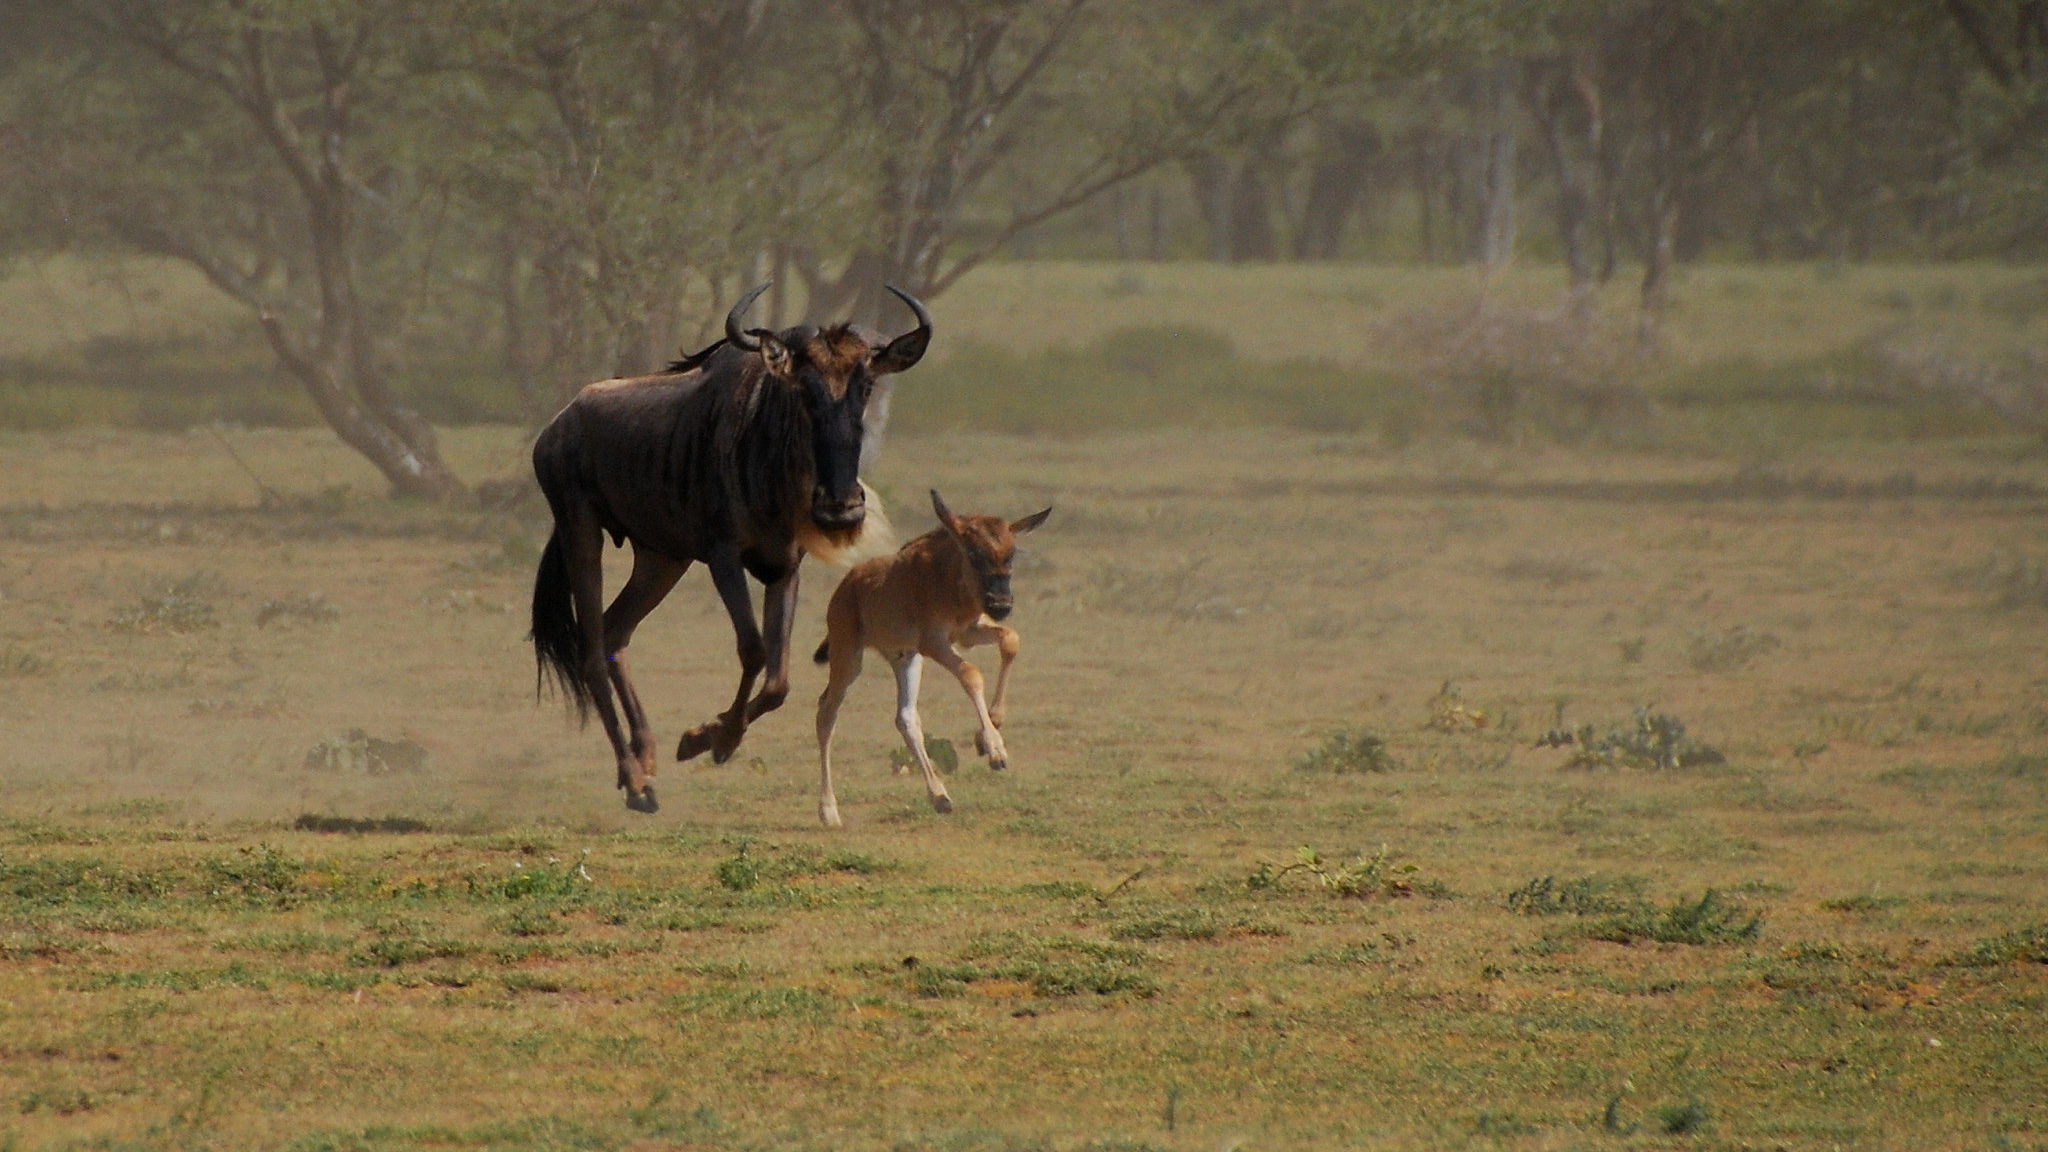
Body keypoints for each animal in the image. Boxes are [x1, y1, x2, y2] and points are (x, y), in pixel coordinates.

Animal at [811, 490, 1051, 828]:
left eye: (1012, 553)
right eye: (973, 552)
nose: (1002, 604)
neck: (946, 578)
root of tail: (846, 586)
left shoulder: (967, 632)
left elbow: (1010, 640)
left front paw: (990, 726)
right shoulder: (934, 642)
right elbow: (971, 674)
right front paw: (994, 750)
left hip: (905, 658)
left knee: (906, 717)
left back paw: (939, 796)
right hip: (848, 657)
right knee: (826, 712)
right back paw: (829, 811)